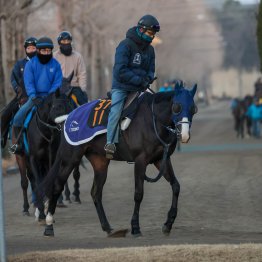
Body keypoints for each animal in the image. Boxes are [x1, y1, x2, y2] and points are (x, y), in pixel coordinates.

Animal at [41, 84, 198, 237]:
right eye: (177, 106)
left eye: (193, 108)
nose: (184, 135)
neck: (152, 120)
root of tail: (69, 118)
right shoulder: (140, 161)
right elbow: (138, 193)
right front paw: (135, 227)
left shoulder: (160, 160)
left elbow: (176, 186)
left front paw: (168, 223)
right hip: (70, 159)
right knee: (57, 186)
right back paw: (49, 225)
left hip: (100, 163)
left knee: (96, 193)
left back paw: (108, 228)